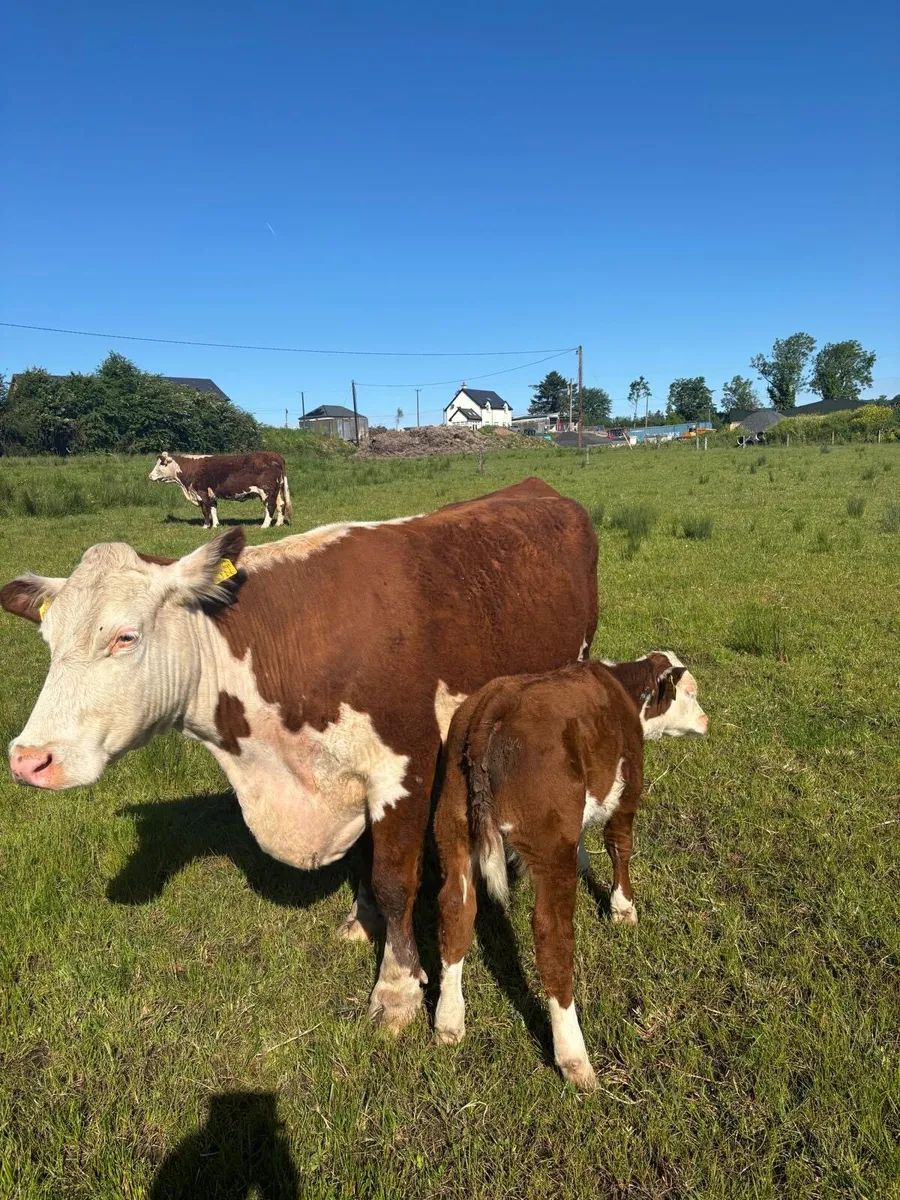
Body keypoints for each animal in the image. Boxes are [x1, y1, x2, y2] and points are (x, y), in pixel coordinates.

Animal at [2, 478, 598, 1032]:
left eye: (125, 637)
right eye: (48, 642)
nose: (28, 759)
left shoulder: (404, 767)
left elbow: (394, 879)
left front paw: (396, 989)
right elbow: (368, 863)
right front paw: (363, 918)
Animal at [149, 452, 292, 529]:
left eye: (161, 464)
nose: (150, 476)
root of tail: (274, 454)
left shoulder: (202, 493)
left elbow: (205, 511)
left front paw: (206, 526)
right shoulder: (211, 495)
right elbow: (213, 509)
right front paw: (216, 525)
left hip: (267, 491)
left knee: (270, 507)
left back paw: (265, 525)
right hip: (278, 491)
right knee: (281, 504)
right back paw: (278, 524)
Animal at [432, 653, 708, 1088]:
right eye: (691, 692)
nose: (706, 720)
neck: (622, 689)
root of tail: (493, 705)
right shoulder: (628, 789)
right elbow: (619, 845)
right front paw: (623, 910)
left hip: (452, 824)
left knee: (456, 910)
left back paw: (448, 1022)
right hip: (549, 844)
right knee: (552, 935)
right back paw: (575, 1059)